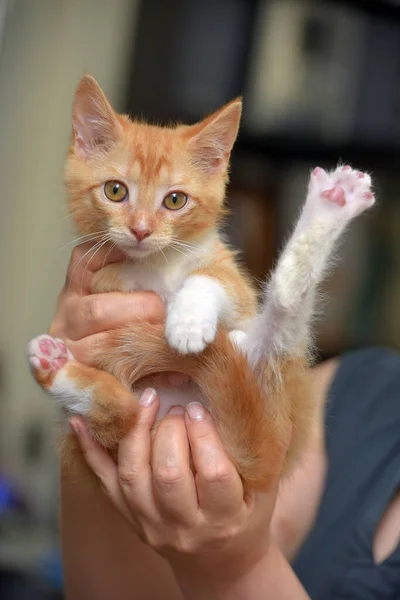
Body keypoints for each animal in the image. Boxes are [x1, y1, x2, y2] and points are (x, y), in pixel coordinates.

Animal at [26, 76, 374, 488]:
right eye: (115, 190)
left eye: (175, 200)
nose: (140, 230)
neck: (158, 263)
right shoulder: (100, 277)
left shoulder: (230, 278)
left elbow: (209, 279)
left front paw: (188, 322)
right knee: (122, 416)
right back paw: (54, 365)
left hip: (274, 371)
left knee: (283, 310)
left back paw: (332, 203)